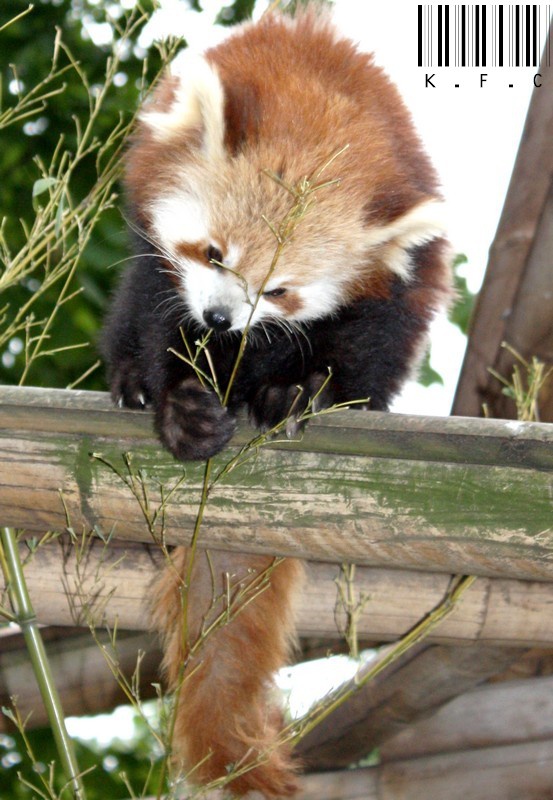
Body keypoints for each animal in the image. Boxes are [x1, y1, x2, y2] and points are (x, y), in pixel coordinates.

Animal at [101, 3, 450, 796]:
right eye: (213, 253)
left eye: (280, 288)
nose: (223, 320)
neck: (318, 98)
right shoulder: (157, 250)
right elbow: (155, 312)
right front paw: (180, 405)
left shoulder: (393, 283)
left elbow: (365, 347)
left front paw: (301, 394)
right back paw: (131, 384)